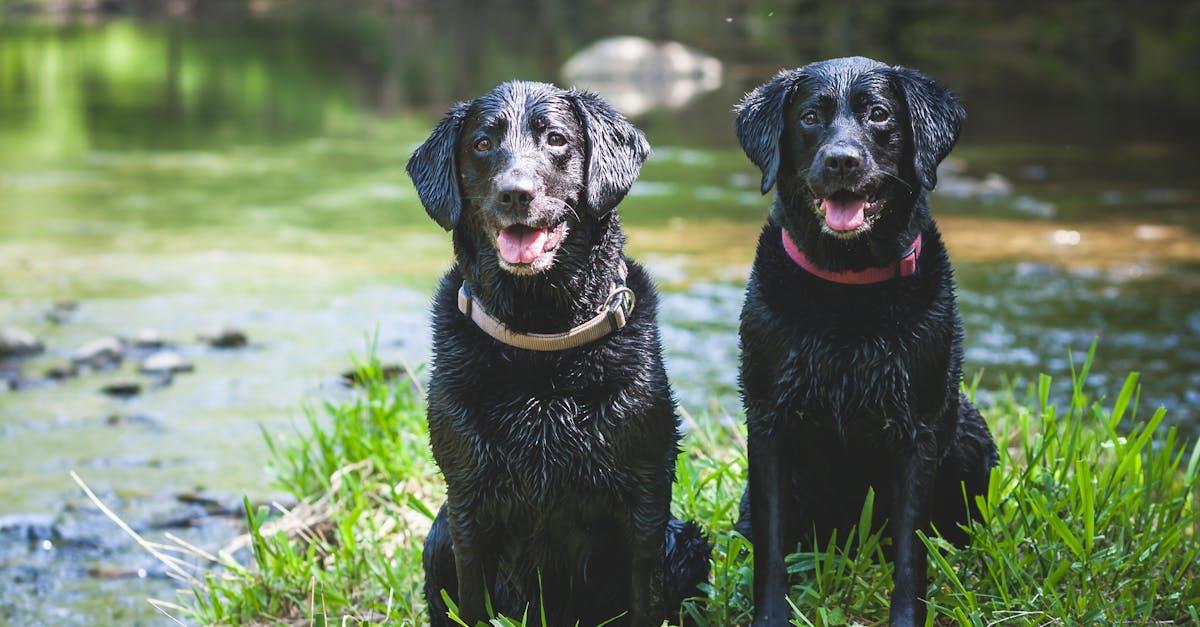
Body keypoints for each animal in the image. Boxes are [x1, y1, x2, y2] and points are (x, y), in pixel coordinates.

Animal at [408, 80, 710, 619]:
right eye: (482, 144)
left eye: (555, 139)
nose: (515, 192)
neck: (542, 341)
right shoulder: (467, 503)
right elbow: (473, 603)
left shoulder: (645, 500)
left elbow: (645, 599)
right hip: (437, 539)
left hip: (685, 542)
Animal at [729, 56, 1003, 619]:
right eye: (810, 116)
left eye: (878, 114)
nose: (841, 161)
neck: (847, 288)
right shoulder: (768, 424)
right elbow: (771, 548)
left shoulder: (919, 430)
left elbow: (911, 557)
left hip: (969, 435)